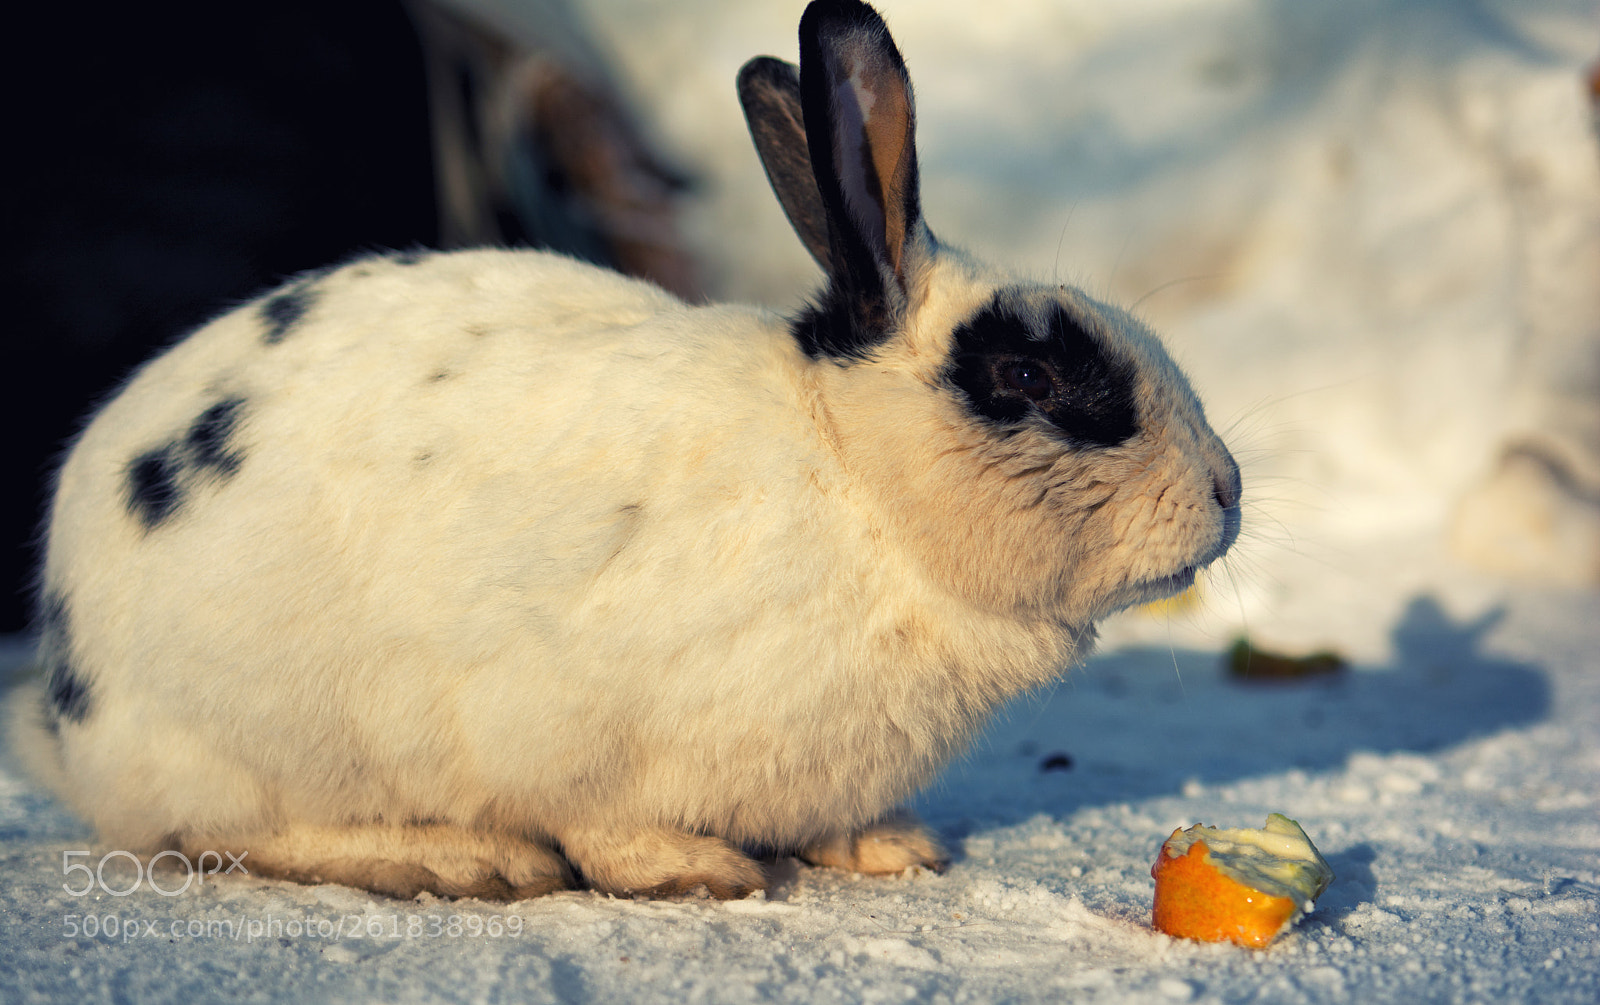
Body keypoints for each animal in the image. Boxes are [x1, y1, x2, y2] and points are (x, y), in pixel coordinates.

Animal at [8, 0, 1240, 902]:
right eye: (1028, 381)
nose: (1225, 494)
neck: (856, 482)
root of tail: (65, 711)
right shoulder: (554, 721)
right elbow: (601, 823)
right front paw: (695, 869)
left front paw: (891, 846)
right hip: (260, 740)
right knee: (224, 833)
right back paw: (458, 857)